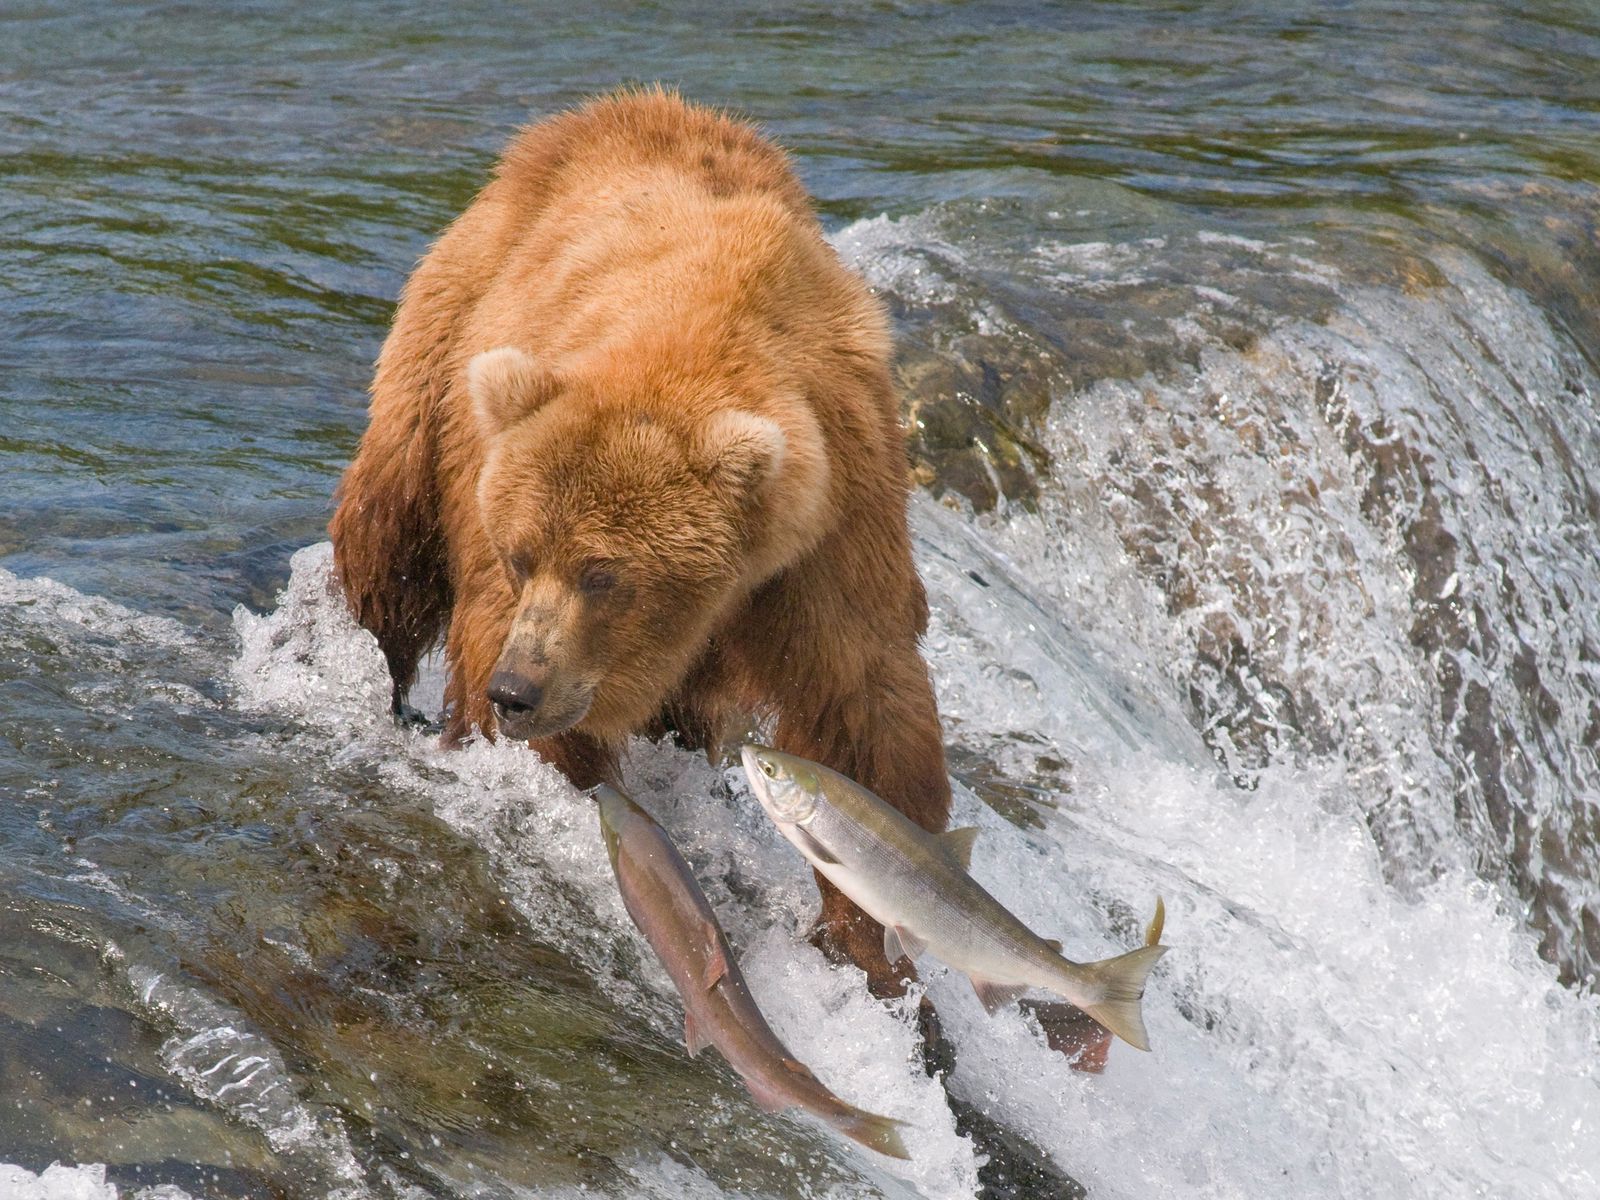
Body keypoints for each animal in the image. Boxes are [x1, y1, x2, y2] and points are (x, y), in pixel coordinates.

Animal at [328, 91, 947, 998]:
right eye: (521, 555)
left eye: (603, 573)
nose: (519, 690)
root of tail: (598, 112)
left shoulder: (830, 527)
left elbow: (861, 712)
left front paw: (875, 944)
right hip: (447, 341)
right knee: (390, 536)